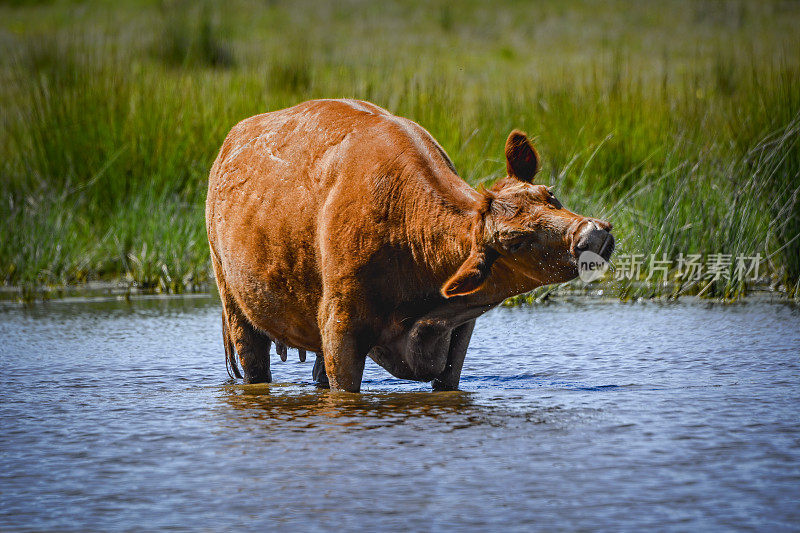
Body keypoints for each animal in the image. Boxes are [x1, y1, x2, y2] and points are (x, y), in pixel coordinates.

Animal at [206, 98, 612, 390]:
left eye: (550, 194)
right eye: (515, 241)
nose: (592, 234)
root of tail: (231, 140)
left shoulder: (458, 335)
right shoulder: (340, 329)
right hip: (235, 302)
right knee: (254, 363)